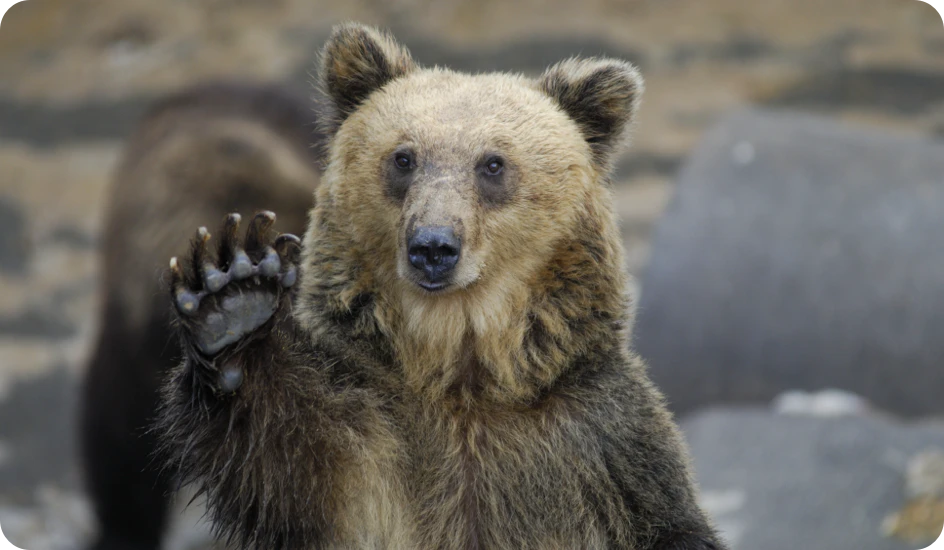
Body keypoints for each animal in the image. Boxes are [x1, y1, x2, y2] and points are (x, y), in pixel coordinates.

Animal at [159, 22, 728, 550]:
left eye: (493, 163)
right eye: (403, 157)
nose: (433, 246)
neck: (461, 369)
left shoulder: (603, 446)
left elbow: (667, 520)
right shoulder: (359, 434)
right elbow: (283, 452)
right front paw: (232, 294)